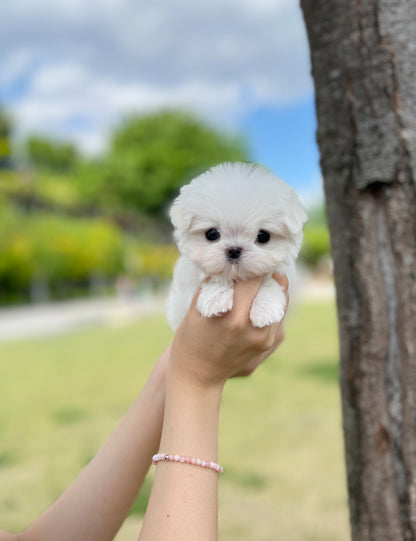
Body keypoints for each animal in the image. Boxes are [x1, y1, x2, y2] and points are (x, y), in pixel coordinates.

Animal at [165, 161, 306, 330]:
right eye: (212, 234)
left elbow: (269, 281)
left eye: (263, 236)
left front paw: (265, 310)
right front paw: (215, 299)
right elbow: (214, 275)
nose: (234, 250)